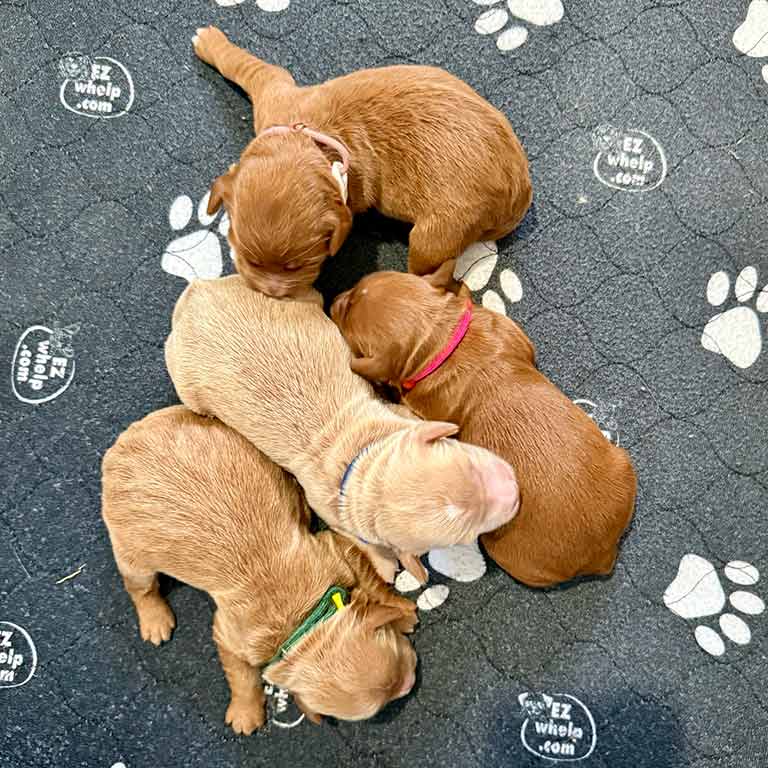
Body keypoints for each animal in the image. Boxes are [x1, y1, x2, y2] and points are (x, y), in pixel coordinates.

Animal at [100, 404, 420, 736]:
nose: (410, 682)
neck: (302, 619)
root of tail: (125, 442)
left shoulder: (334, 549)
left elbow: (373, 584)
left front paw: (400, 612)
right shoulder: (230, 636)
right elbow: (242, 677)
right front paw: (245, 711)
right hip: (131, 552)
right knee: (141, 588)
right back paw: (155, 622)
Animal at [164, 276, 520, 584]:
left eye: (469, 460)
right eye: (467, 532)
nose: (515, 488)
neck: (361, 460)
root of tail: (196, 292)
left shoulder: (398, 415)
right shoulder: (327, 507)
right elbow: (357, 538)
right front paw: (384, 564)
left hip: (289, 297)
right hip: (188, 385)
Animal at [190, 24, 536, 296]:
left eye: (300, 265)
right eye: (250, 259)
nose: (272, 294)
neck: (311, 138)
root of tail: (519, 189)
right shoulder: (274, 92)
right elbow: (248, 67)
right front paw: (209, 42)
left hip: (436, 234)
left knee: (429, 272)